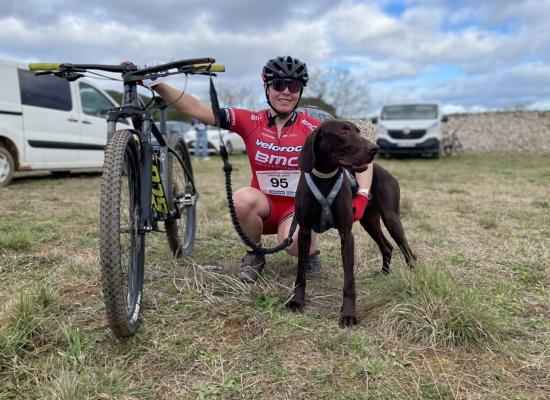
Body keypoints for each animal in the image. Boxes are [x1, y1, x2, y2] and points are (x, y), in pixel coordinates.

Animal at [288, 119, 418, 328]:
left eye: (358, 131)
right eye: (344, 132)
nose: (375, 148)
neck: (325, 178)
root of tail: (387, 172)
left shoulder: (346, 235)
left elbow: (349, 281)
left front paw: (348, 313)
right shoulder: (304, 233)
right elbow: (301, 273)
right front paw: (297, 301)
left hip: (391, 219)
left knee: (407, 251)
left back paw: (414, 278)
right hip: (369, 222)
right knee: (387, 247)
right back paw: (384, 274)